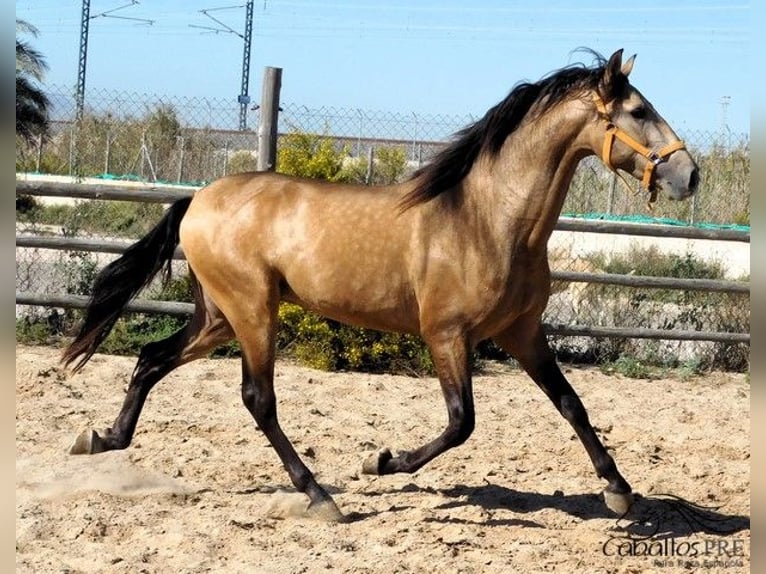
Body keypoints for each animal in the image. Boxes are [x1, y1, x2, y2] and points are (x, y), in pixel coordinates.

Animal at [61, 51, 704, 524]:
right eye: (639, 110)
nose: (690, 174)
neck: (488, 221)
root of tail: (198, 198)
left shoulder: (522, 333)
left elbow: (572, 403)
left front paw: (619, 490)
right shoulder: (446, 334)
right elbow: (461, 422)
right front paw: (380, 460)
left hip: (218, 315)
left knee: (151, 357)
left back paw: (99, 438)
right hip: (252, 310)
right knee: (258, 399)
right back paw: (321, 498)